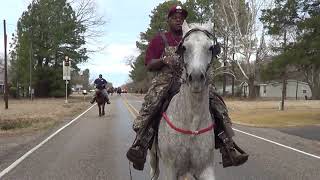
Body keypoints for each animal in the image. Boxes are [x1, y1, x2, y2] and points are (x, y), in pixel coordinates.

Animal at [151, 21, 216, 180]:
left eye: (211, 47)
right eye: (184, 47)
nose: (196, 78)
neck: (192, 124)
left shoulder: (206, 168)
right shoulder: (170, 169)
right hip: (153, 159)